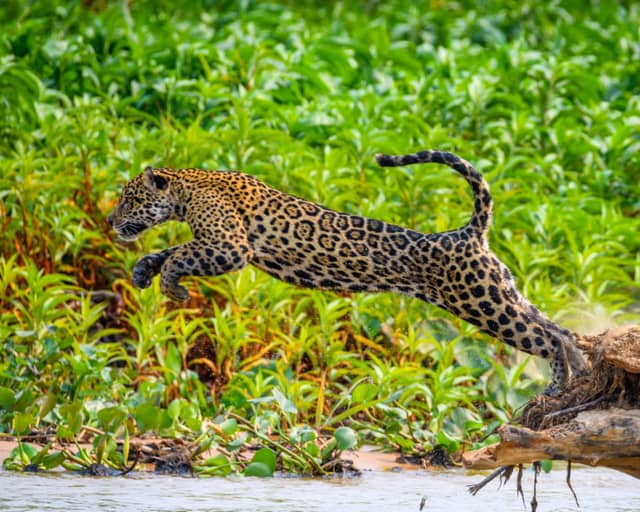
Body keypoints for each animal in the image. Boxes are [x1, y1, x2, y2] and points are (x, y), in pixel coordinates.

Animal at [108, 150, 587, 395]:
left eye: (129, 200)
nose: (111, 221)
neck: (188, 188)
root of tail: (468, 232)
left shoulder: (230, 246)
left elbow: (181, 254)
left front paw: (173, 288)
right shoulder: (215, 243)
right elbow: (175, 248)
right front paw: (144, 271)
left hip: (483, 303)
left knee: (544, 337)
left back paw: (556, 386)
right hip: (502, 293)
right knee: (560, 329)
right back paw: (579, 372)